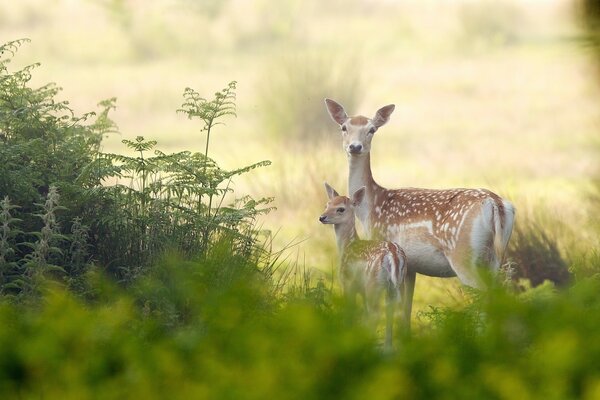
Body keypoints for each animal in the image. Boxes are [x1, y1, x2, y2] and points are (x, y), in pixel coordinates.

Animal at [324, 98, 516, 326]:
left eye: (372, 129)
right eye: (344, 127)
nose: (355, 146)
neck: (370, 208)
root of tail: (496, 204)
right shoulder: (411, 267)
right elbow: (406, 311)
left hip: (463, 254)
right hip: (495, 257)